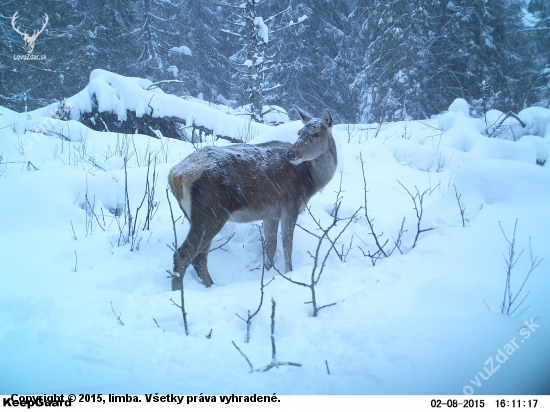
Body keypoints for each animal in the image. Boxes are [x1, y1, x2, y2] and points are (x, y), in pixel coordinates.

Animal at [168, 107, 338, 290]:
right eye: (300, 132)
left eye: (316, 133)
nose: (291, 153)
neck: (311, 182)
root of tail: (175, 175)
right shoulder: (290, 203)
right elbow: (287, 245)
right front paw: (288, 273)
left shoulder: (271, 213)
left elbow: (271, 244)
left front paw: (268, 272)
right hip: (211, 212)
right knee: (183, 255)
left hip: (197, 216)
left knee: (199, 258)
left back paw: (211, 287)